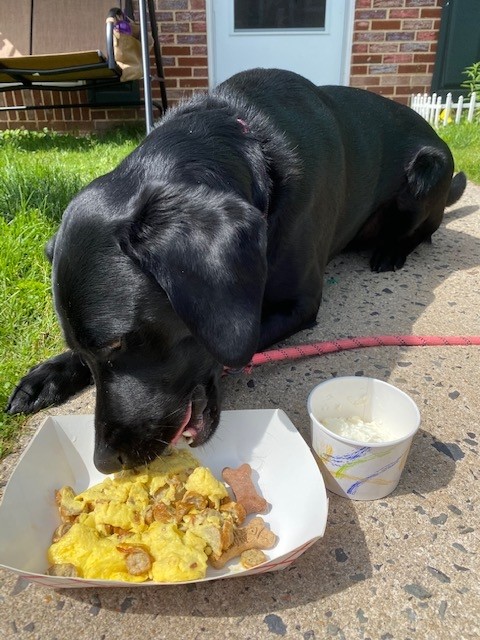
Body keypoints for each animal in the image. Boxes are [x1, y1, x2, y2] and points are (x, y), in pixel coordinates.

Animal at [6, 70, 464, 472]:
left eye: (118, 344)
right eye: (85, 350)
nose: (102, 462)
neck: (247, 143)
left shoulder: (298, 305)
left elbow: (233, 348)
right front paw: (49, 374)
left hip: (429, 169)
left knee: (422, 230)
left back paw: (391, 251)